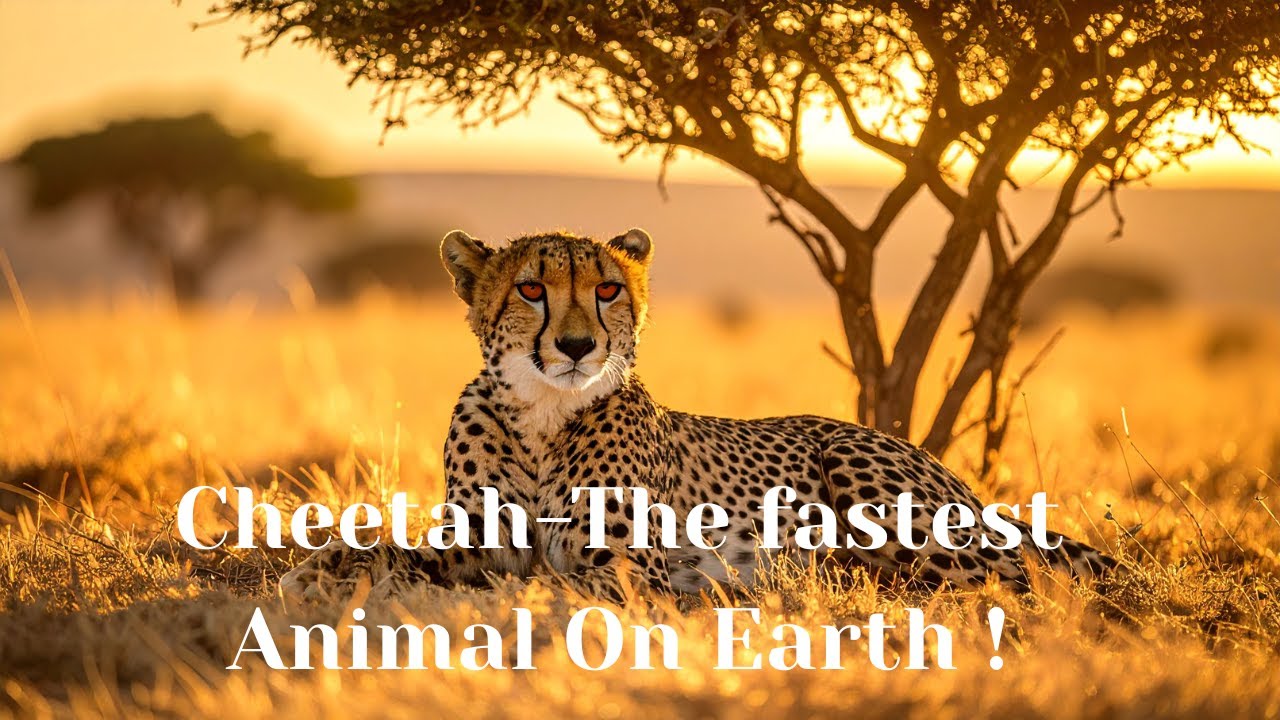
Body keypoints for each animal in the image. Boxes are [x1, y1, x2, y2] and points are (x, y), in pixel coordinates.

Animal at [279, 228, 1115, 603]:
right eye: (530, 289)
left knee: (1014, 584)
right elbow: (387, 551)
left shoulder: (624, 571)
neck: (545, 414)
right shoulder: (476, 540)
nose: (577, 345)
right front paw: (314, 569)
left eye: (607, 289)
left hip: (871, 479)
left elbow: (544, 585)